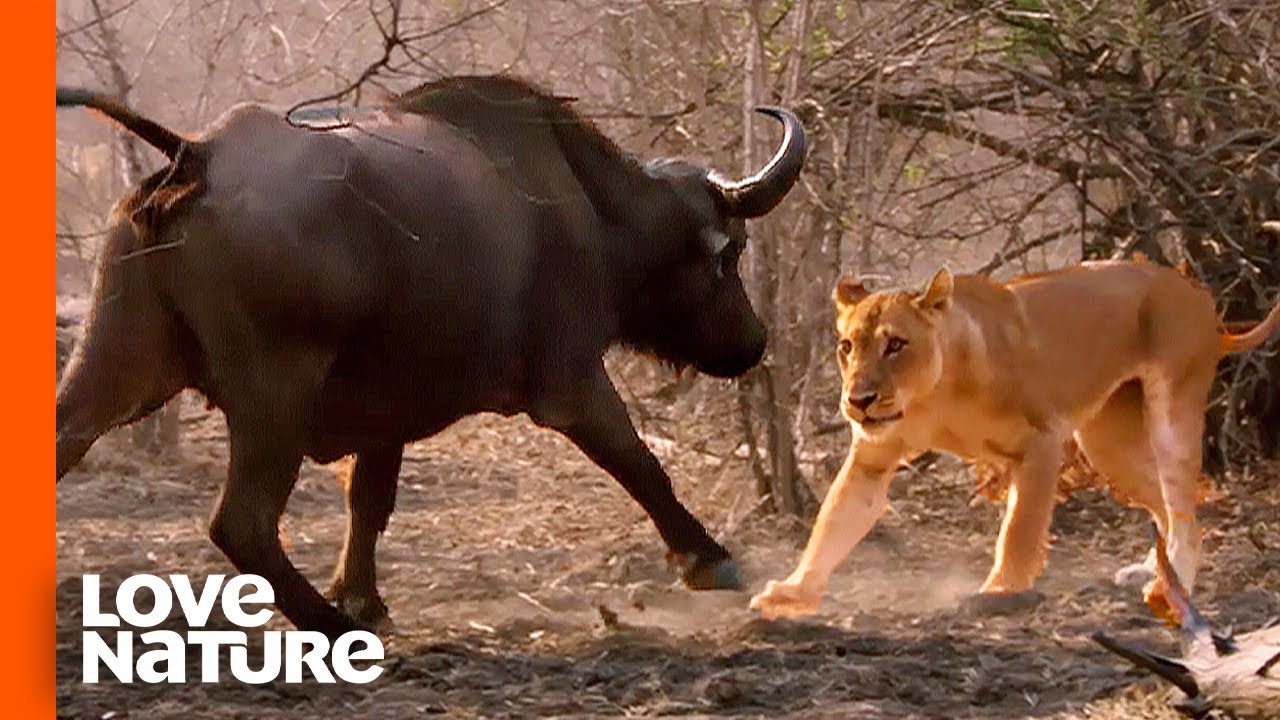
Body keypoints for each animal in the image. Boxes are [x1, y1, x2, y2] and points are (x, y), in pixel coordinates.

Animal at [55, 75, 805, 636]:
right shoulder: (572, 384)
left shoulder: (386, 412)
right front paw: (709, 559)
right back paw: (328, 626)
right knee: (242, 522)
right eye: (730, 251)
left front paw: (364, 598)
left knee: (66, 443)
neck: (587, 207)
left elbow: (369, 501)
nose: (754, 342)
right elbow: (639, 463)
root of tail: (198, 157)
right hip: (275, 398)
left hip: (114, 366)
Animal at [750, 259, 1280, 621]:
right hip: (1106, 442)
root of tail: (1190, 288)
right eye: (846, 346)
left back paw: (1169, 589)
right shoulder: (872, 459)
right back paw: (1151, 571)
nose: (858, 400)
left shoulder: (1042, 443)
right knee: (1163, 504)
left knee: (1186, 513)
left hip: (1171, 410)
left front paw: (999, 592)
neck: (934, 394)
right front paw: (794, 593)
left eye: (895, 344)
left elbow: (1019, 531)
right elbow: (832, 523)